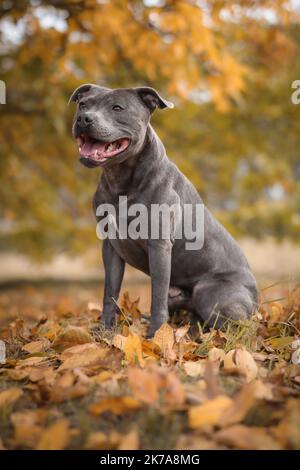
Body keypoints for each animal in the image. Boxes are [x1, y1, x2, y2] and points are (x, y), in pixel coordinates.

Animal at [69, 83, 258, 334]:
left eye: (117, 108)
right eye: (83, 104)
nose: (84, 118)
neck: (120, 179)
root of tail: (256, 299)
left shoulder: (159, 246)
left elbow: (156, 296)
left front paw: (155, 336)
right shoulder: (111, 246)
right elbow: (110, 292)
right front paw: (105, 331)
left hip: (210, 294)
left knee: (239, 326)